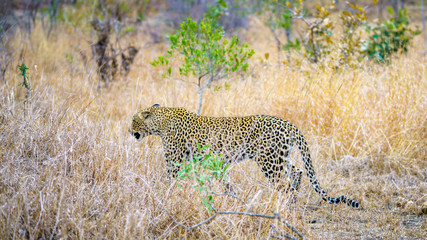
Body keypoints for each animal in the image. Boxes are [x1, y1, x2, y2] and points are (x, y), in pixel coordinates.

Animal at [130, 103, 362, 208]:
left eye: (133, 121)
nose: (130, 132)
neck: (160, 122)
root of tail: (289, 124)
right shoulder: (208, 162)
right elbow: (222, 181)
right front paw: (228, 198)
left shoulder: (174, 161)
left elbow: (171, 181)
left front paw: (167, 197)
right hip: (281, 157)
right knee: (296, 172)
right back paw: (292, 201)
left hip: (269, 161)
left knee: (284, 184)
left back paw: (280, 205)